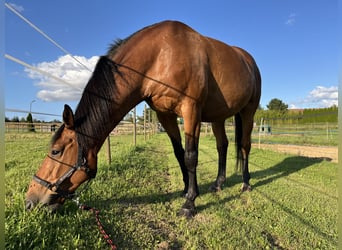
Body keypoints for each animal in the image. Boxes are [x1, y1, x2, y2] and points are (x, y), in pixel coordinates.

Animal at [25, 21, 260, 217]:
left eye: (56, 151)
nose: (30, 200)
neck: (161, 55)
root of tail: (249, 61)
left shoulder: (191, 109)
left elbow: (191, 156)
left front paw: (190, 203)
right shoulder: (165, 114)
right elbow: (179, 153)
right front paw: (186, 189)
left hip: (248, 111)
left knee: (245, 146)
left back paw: (246, 183)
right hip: (217, 117)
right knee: (223, 146)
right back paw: (218, 183)